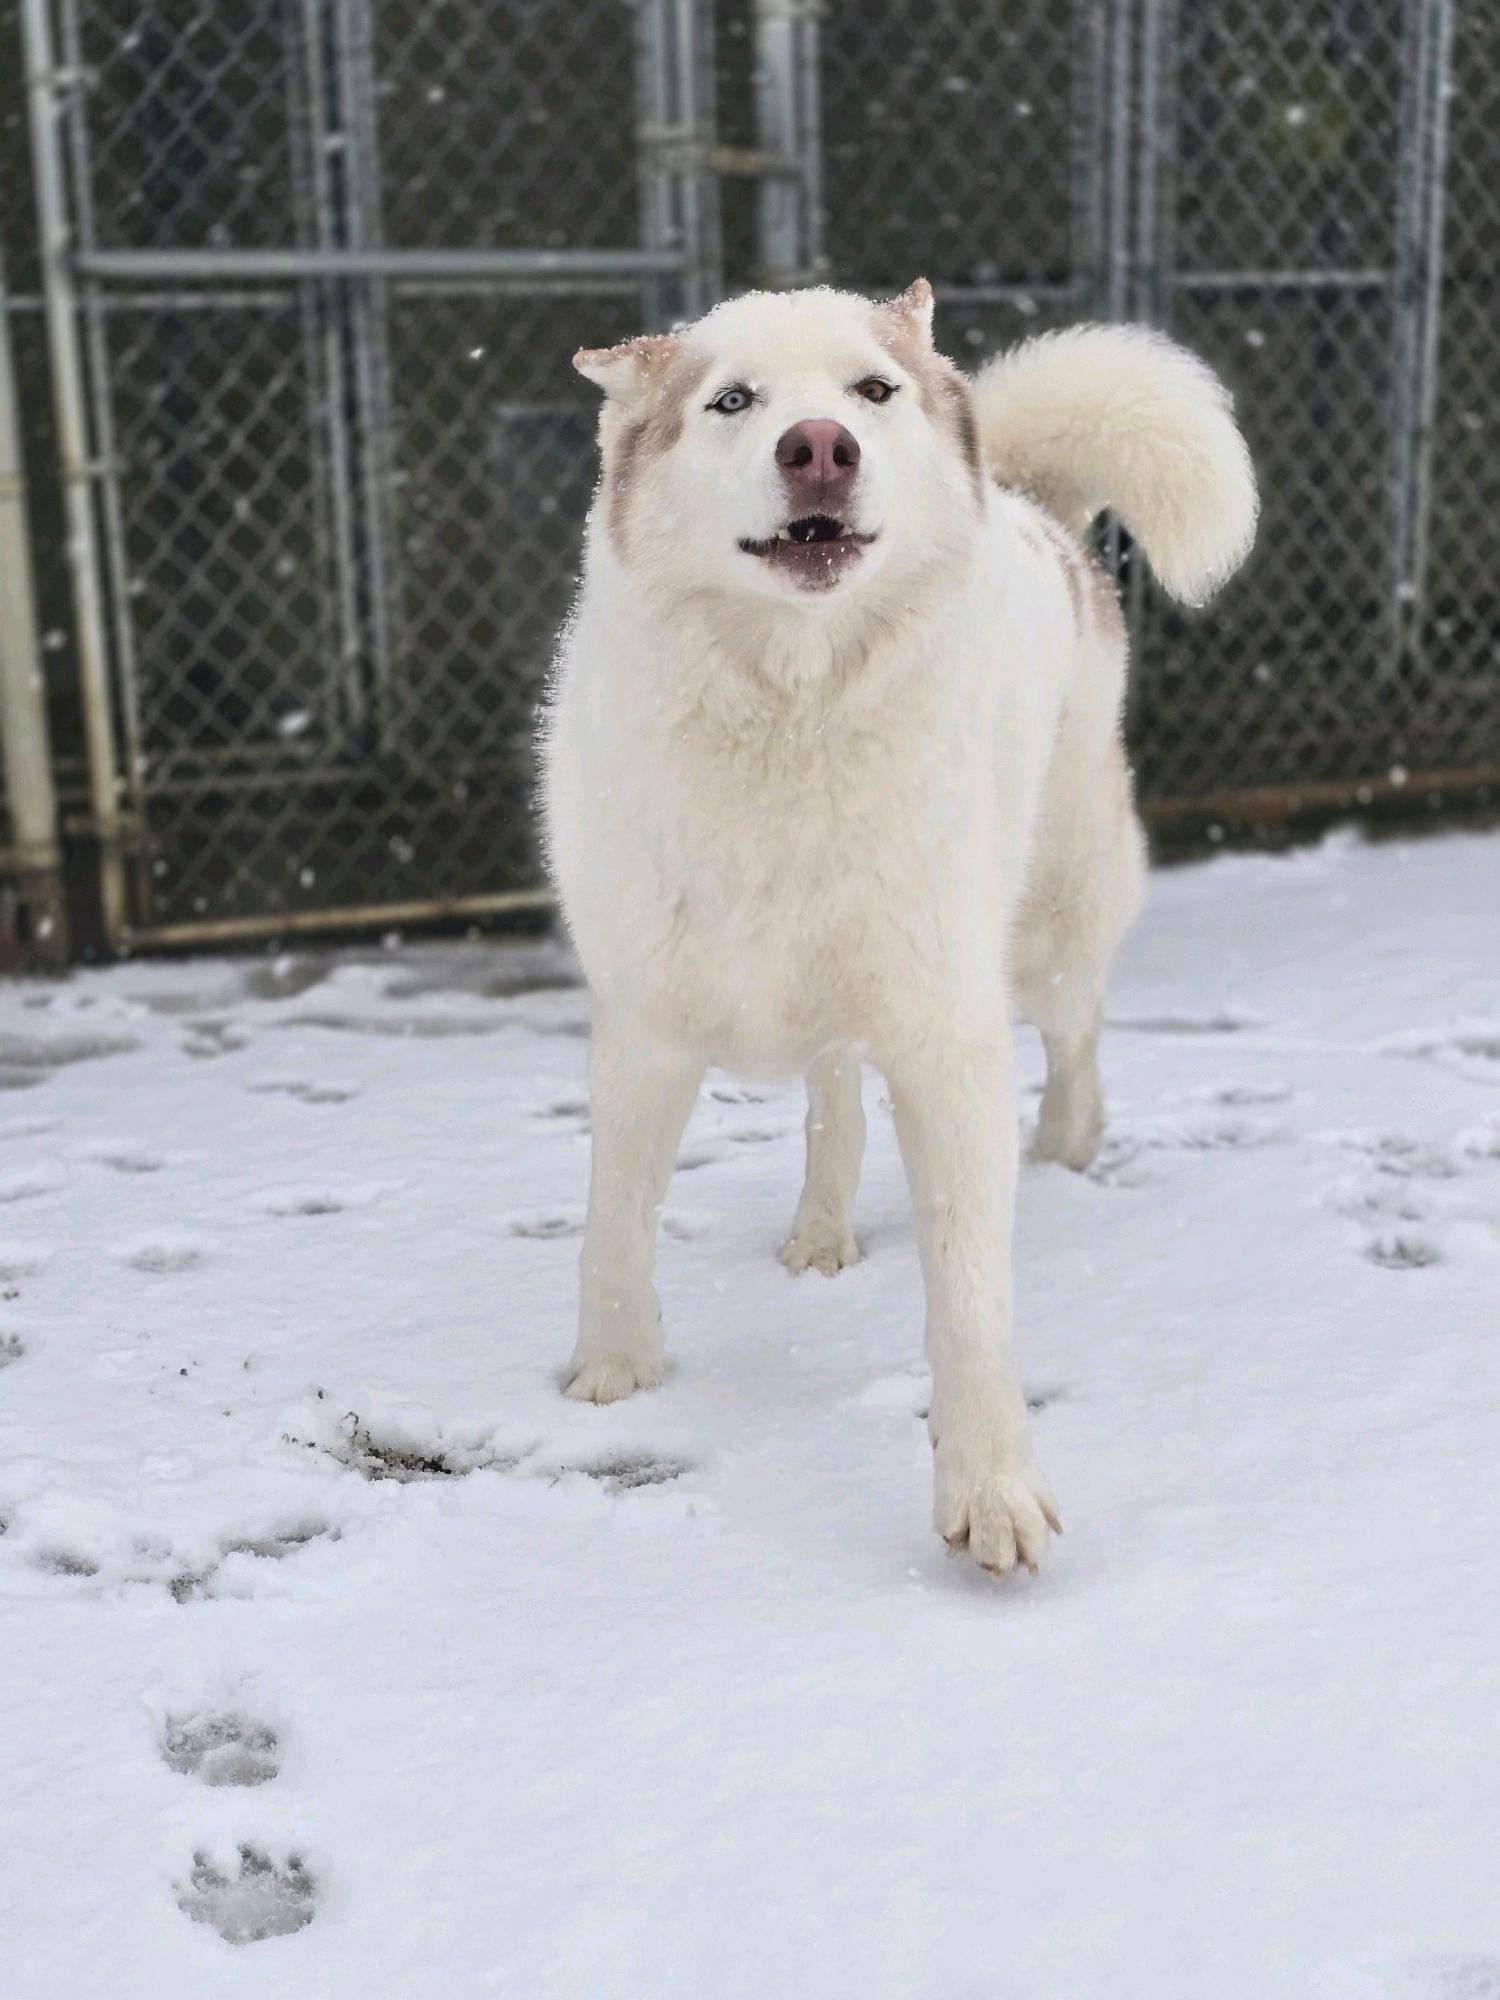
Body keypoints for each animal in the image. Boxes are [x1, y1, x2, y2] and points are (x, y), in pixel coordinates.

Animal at [540, 279, 1256, 1576]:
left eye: (871, 391)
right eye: (734, 402)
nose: (821, 446)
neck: (792, 713)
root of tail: (1033, 506)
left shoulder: (946, 1038)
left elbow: (970, 1295)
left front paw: (991, 1491)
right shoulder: (642, 1026)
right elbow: (612, 1222)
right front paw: (612, 1374)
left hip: (1048, 928)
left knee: (1077, 1034)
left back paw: (1068, 1144)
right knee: (835, 1098)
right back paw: (822, 1233)